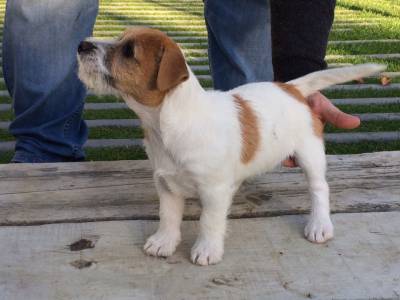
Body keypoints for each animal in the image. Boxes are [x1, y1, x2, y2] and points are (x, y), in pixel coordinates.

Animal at [76, 26, 386, 264]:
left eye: (129, 52)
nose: (82, 44)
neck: (165, 125)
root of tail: (290, 88)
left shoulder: (213, 191)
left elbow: (209, 221)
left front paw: (207, 250)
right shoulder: (166, 185)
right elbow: (168, 216)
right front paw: (164, 242)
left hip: (310, 154)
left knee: (320, 189)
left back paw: (319, 225)